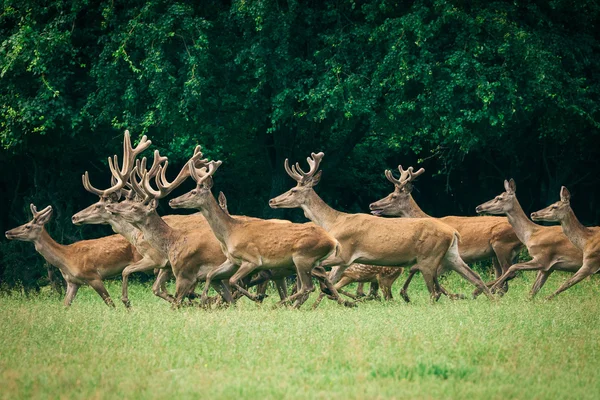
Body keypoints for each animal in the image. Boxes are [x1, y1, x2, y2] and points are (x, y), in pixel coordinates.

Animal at [4, 205, 138, 308]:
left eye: (28, 226)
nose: (7, 232)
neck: (66, 258)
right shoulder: (72, 282)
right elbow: (65, 305)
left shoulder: (93, 276)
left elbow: (110, 303)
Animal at [166, 155, 352, 308]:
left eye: (193, 191)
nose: (172, 201)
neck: (229, 233)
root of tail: (333, 241)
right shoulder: (232, 260)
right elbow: (211, 275)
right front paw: (206, 302)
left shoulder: (252, 259)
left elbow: (233, 280)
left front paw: (256, 297)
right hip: (309, 262)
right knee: (313, 284)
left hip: (302, 257)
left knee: (307, 287)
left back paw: (279, 304)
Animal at [270, 152, 494, 302]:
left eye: (293, 190)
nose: (272, 200)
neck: (334, 222)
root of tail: (453, 232)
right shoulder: (343, 262)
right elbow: (330, 281)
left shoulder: (344, 254)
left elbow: (324, 277)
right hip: (451, 255)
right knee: (475, 277)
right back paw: (493, 301)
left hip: (428, 257)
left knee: (434, 290)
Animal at [368, 163, 524, 294]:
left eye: (393, 196)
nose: (372, 205)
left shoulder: (442, 259)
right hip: (497, 254)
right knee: (504, 277)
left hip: (502, 245)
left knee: (509, 271)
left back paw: (477, 292)